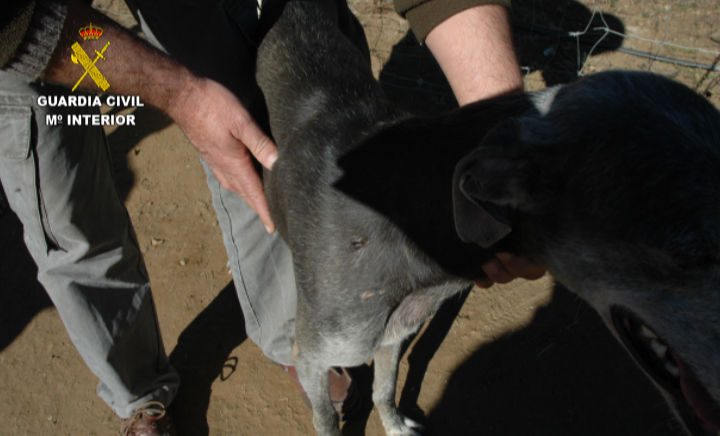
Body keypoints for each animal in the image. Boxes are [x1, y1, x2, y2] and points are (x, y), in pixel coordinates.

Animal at [254, 1, 720, 435]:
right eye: (687, 246)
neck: (397, 211)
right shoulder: (314, 355)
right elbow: (325, 418)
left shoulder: (396, 331)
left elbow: (384, 387)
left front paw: (394, 424)